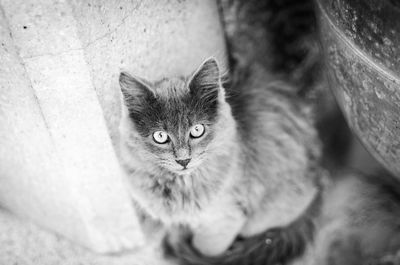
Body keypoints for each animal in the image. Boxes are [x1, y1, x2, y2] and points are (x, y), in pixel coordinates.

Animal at [117, 57, 320, 256]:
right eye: (160, 136)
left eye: (197, 130)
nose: (183, 160)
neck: (181, 187)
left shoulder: (225, 219)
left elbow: (204, 249)